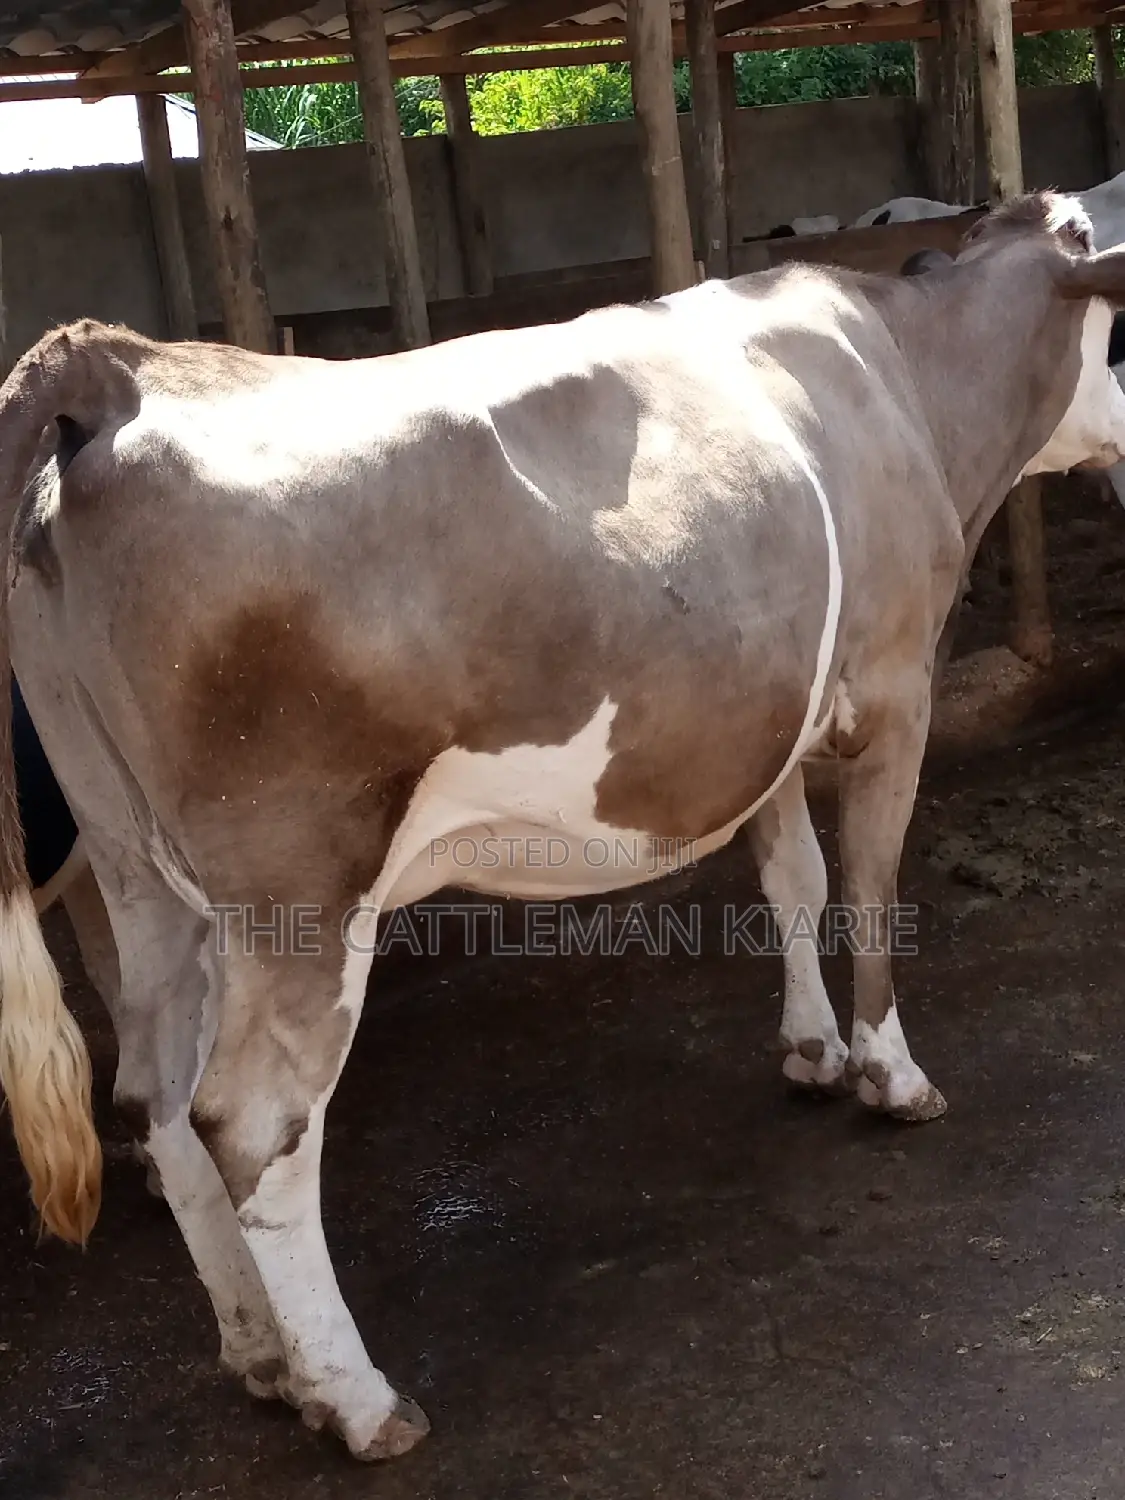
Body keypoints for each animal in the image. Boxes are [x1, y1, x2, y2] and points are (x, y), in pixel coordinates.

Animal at [0, 191, 1124, 1463]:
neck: (904, 372)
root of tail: (125, 367)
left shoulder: (769, 722)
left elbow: (791, 879)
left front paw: (812, 1050)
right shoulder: (893, 690)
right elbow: (872, 888)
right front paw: (893, 1075)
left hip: (138, 872)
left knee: (157, 1098)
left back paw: (260, 1354)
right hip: (297, 888)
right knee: (252, 1120)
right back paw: (357, 1398)